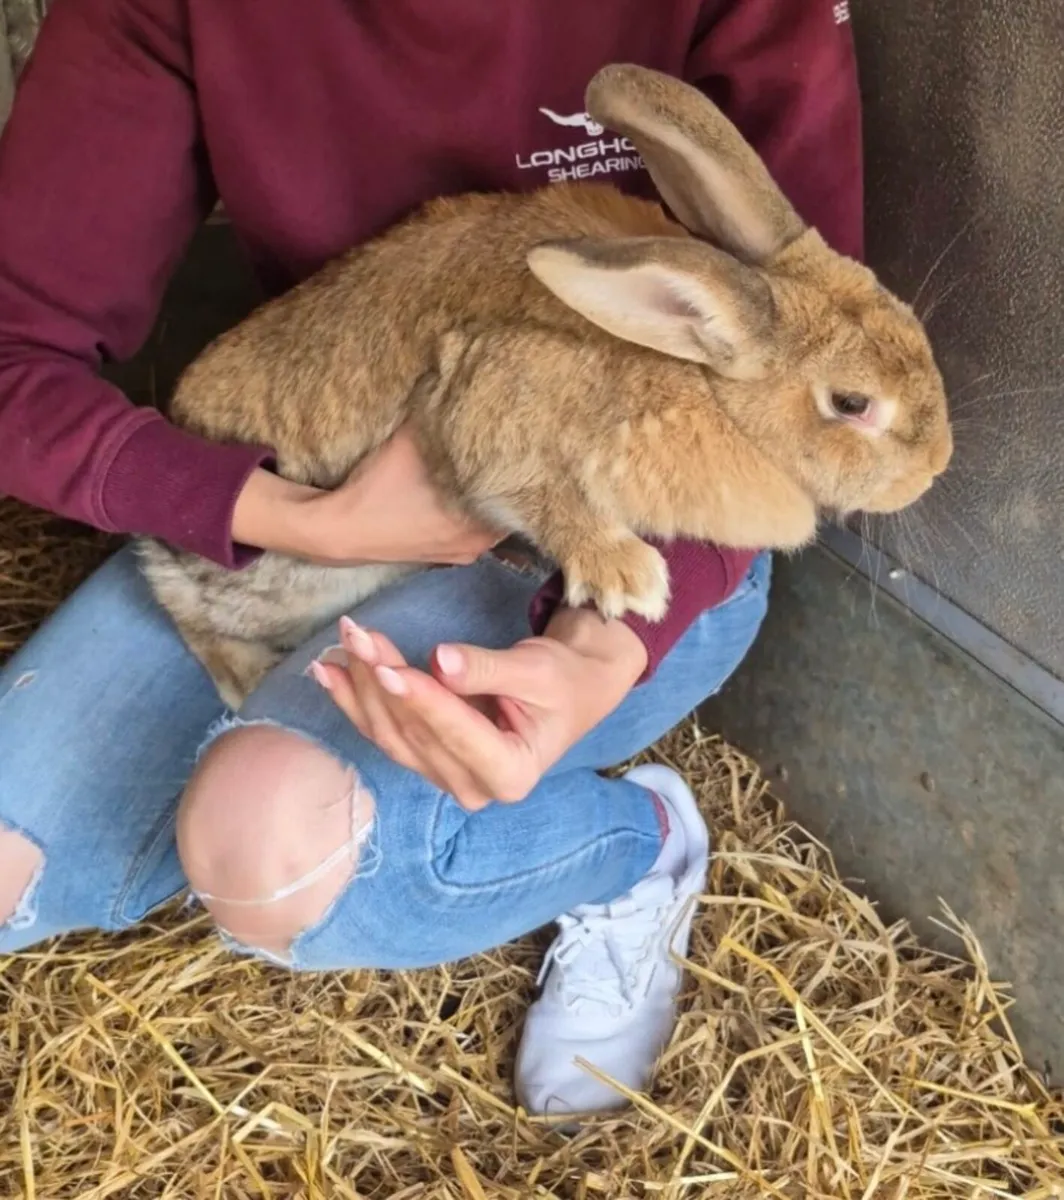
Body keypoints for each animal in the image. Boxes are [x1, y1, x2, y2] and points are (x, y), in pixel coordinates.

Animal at [138, 63, 953, 709]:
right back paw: (243, 680)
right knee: (190, 619)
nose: (936, 468)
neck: (700, 379)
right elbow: (531, 483)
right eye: (851, 403)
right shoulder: (489, 388)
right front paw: (627, 578)